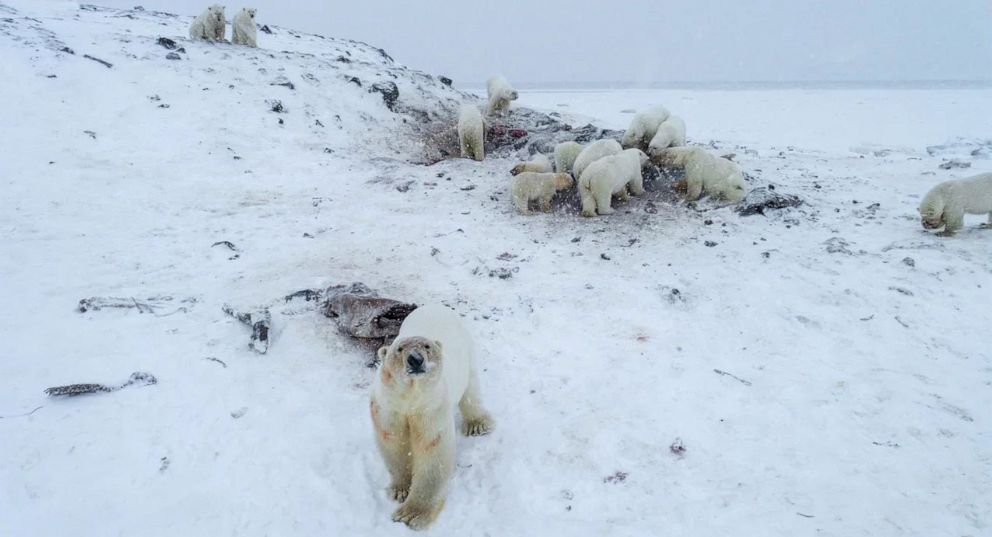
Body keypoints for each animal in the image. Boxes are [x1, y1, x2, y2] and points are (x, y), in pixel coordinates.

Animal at [370, 304, 494, 530]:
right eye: (399, 349)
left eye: (427, 346)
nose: (415, 359)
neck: (411, 397)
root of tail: (435, 306)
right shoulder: (388, 407)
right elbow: (393, 442)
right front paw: (400, 490)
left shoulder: (431, 408)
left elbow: (432, 451)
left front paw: (411, 514)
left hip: (467, 350)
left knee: (471, 389)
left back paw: (478, 424)